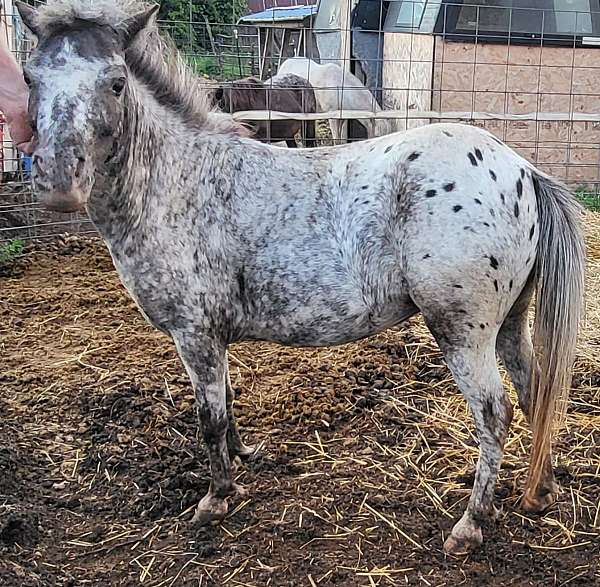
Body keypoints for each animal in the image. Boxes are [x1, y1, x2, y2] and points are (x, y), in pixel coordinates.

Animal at [16, 0, 584, 556]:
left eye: (115, 82)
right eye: (29, 76)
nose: (59, 182)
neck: (176, 182)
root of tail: (522, 170)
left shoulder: (193, 333)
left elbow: (208, 418)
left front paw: (216, 499)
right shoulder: (212, 338)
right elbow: (226, 402)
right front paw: (243, 457)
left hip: (463, 333)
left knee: (494, 413)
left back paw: (470, 524)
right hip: (510, 323)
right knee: (534, 391)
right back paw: (541, 489)